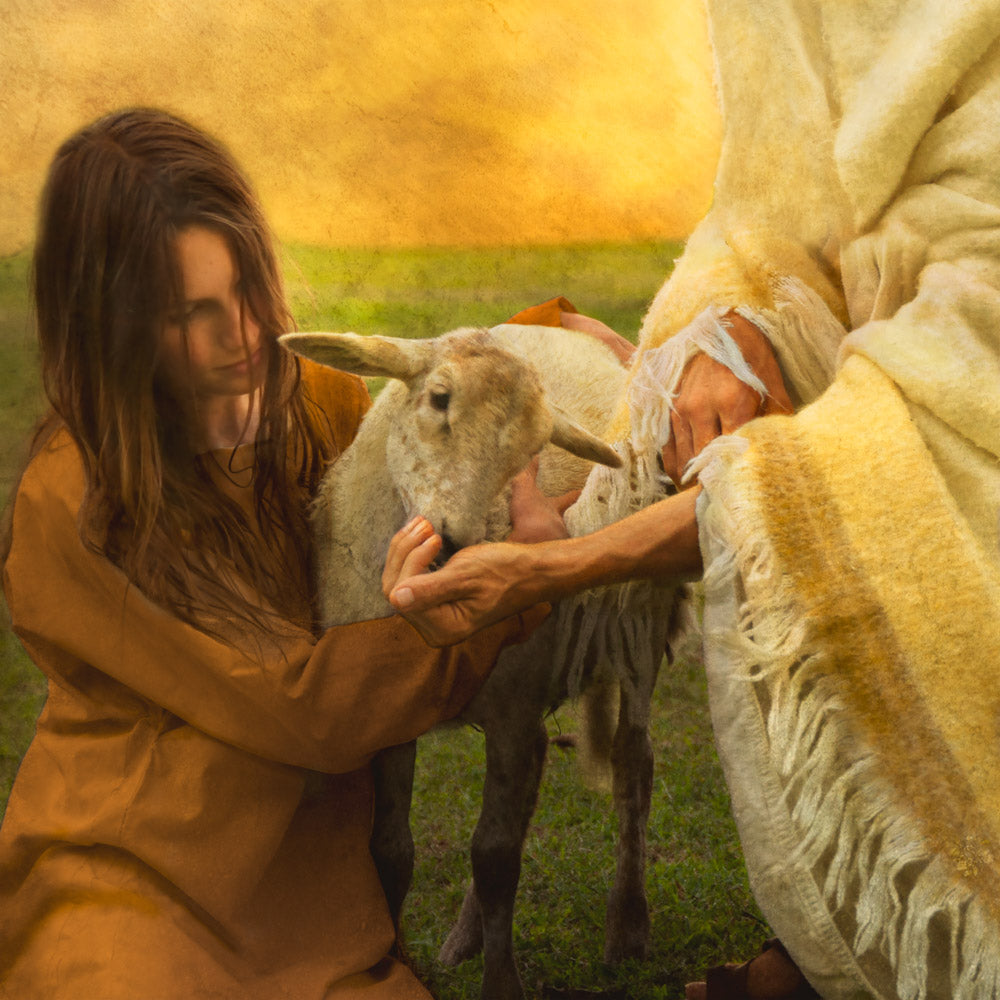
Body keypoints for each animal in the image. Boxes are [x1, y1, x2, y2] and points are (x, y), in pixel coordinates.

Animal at [286, 320, 684, 1000]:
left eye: (530, 451)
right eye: (438, 398)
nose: (451, 549)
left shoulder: (512, 711)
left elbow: (496, 856)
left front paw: (501, 982)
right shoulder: (394, 719)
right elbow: (391, 849)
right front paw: (400, 964)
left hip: (639, 624)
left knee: (634, 767)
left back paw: (628, 929)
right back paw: (464, 939)